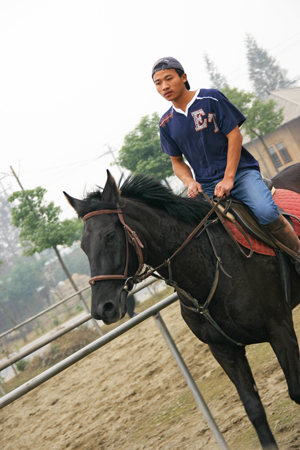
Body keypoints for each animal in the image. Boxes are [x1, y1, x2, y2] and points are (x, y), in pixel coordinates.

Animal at [64, 163, 300, 448]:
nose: (103, 308)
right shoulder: (224, 349)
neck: (212, 265)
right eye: (83, 245)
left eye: (110, 236)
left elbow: (296, 390)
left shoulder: (280, 329)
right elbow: (253, 408)